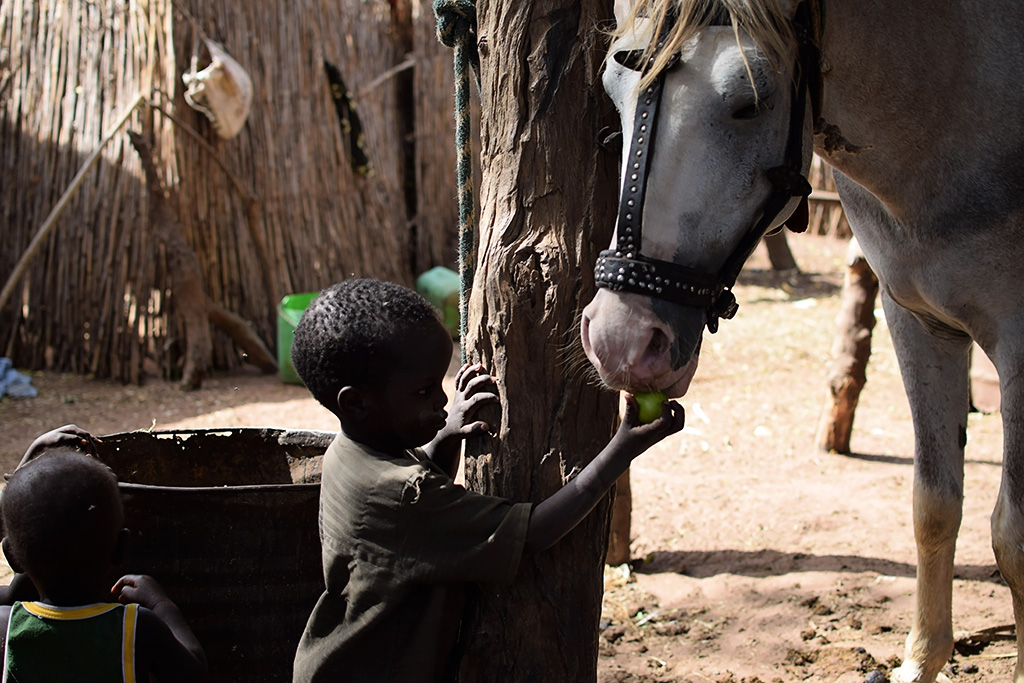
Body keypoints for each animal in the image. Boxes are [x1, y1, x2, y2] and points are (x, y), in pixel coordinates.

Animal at [579, 1, 1024, 681]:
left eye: (749, 102)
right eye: (613, 91)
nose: (621, 340)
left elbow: (1014, 537)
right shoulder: (917, 322)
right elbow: (934, 504)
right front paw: (921, 660)